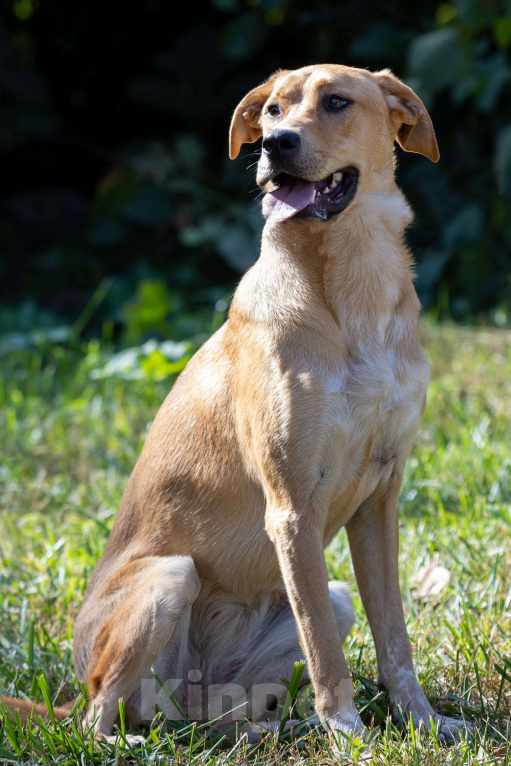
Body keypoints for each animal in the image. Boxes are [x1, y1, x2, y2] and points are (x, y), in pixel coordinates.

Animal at [3, 66, 468, 752]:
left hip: (321, 604)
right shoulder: (293, 509)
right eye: (273, 108)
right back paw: (129, 742)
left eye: (336, 102)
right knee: (99, 718)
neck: (352, 287)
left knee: (205, 717)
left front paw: (422, 721)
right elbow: (326, 653)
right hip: (168, 580)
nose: (275, 144)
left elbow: (395, 640)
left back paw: (258, 731)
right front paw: (347, 732)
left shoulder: (381, 499)